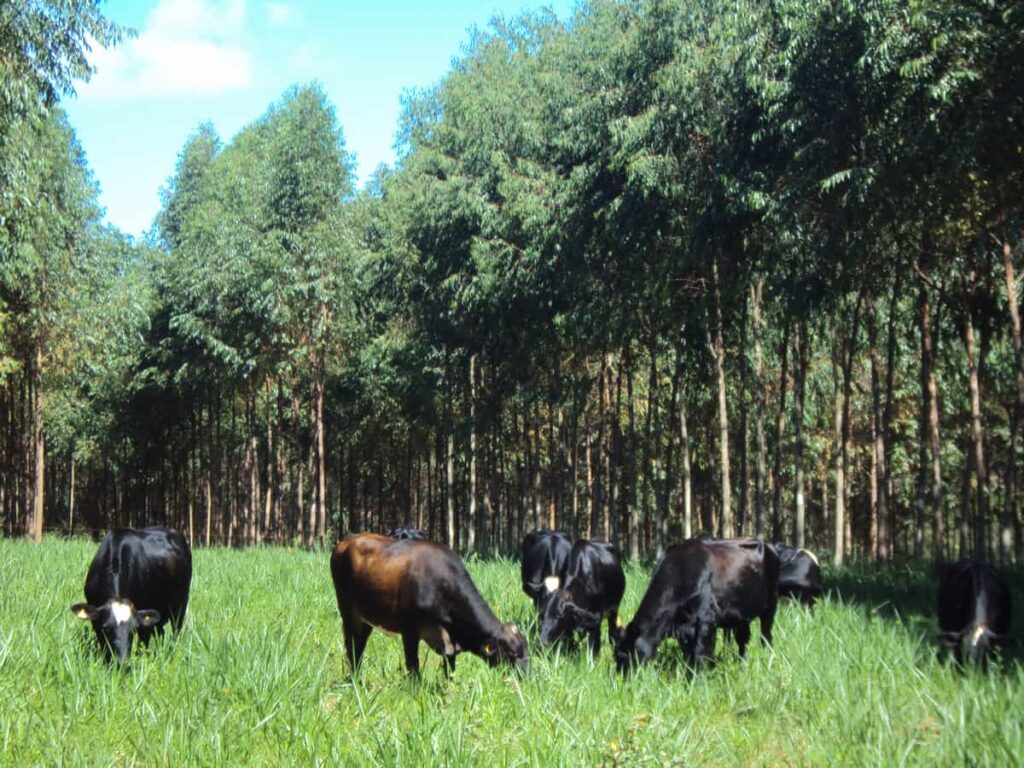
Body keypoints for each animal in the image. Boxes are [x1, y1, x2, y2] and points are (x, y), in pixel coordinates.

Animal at [69, 528, 192, 663]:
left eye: (132, 630)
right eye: (107, 628)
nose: (122, 662)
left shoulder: (143, 620)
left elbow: (142, 646)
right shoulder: (96, 620)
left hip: (180, 606)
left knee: (175, 632)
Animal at [331, 532, 528, 675]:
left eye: (526, 652)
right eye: (512, 655)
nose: (526, 679)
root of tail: (345, 541)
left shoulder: (450, 642)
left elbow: (450, 670)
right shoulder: (409, 630)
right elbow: (413, 665)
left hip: (366, 618)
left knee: (359, 646)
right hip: (347, 612)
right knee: (351, 646)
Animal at [614, 536, 774, 675]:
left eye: (626, 655)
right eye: (616, 656)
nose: (623, 681)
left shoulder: (706, 619)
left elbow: (700, 654)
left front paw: (699, 682)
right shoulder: (683, 629)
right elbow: (688, 656)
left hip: (770, 607)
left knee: (766, 637)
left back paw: (767, 660)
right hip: (741, 617)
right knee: (742, 642)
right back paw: (742, 666)